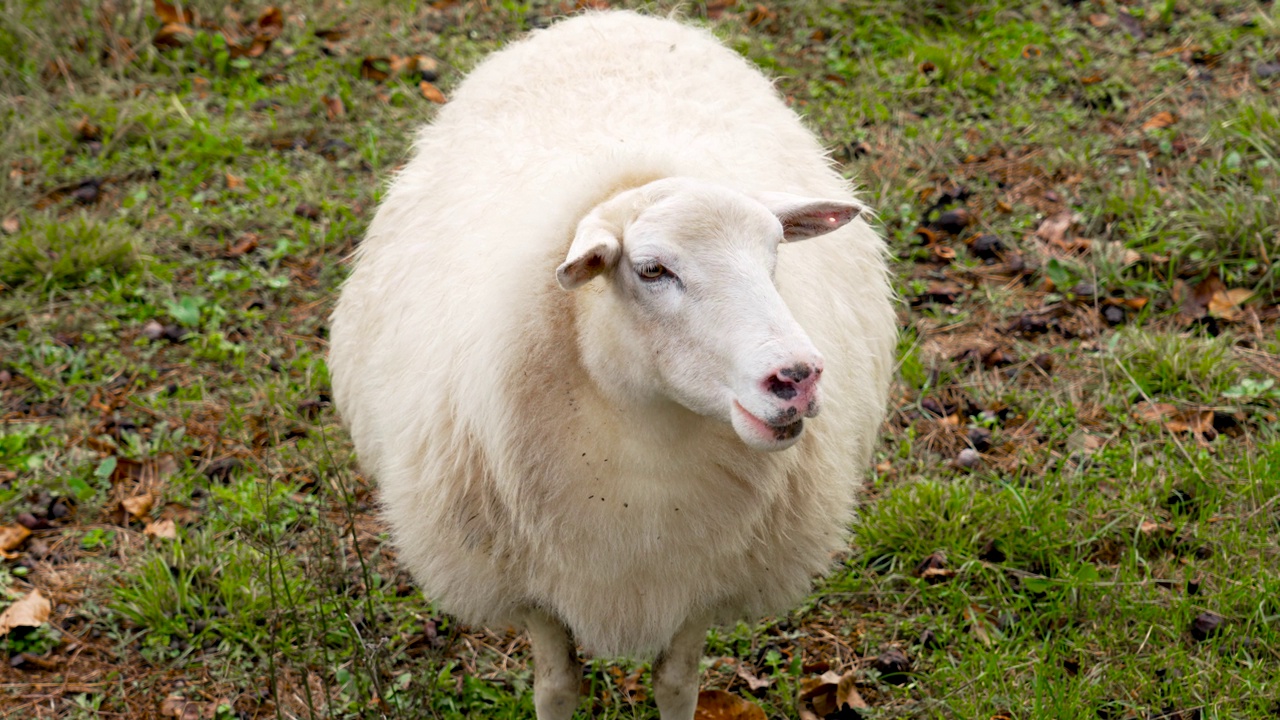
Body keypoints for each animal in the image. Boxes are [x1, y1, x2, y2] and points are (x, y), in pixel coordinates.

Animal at [325, 11, 896, 717]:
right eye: (652, 270)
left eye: (774, 253)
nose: (796, 377)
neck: (647, 444)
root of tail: (607, 16)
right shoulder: (530, 586)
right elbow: (556, 686)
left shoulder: (702, 579)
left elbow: (677, 683)